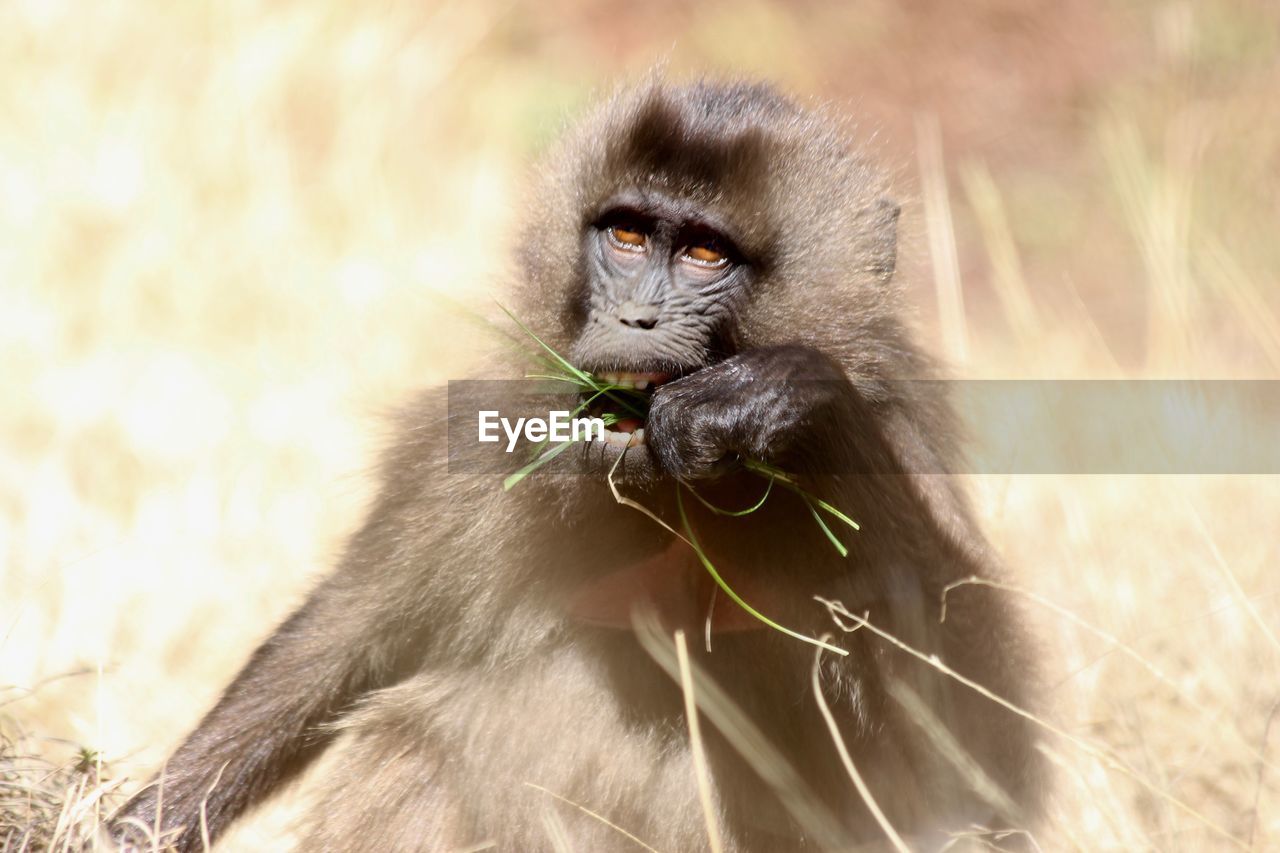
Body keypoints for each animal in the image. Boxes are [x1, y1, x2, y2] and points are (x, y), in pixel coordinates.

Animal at [112, 78, 1049, 845]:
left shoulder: (901, 426)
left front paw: (783, 407)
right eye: (627, 235)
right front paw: (133, 826)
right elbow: (345, 635)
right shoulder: (484, 436)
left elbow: (983, 776)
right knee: (420, 743)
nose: (634, 319)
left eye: (705, 254)